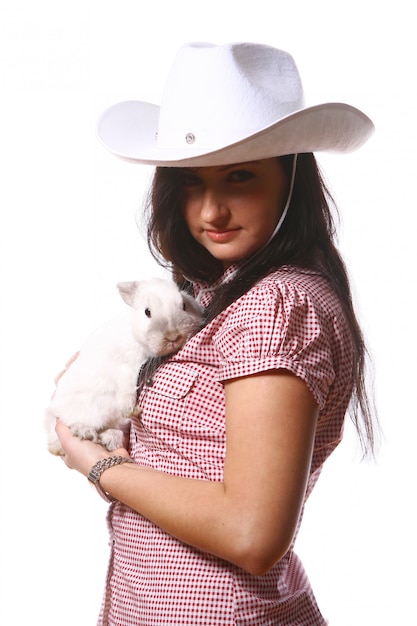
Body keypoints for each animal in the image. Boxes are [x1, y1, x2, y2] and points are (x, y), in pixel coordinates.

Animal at [44, 276, 202, 454]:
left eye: (184, 305)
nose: (173, 336)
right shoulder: (127, 367)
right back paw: (86, 432)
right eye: (147, 312)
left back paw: (109, 439)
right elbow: (127, 389)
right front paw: (130, 410)